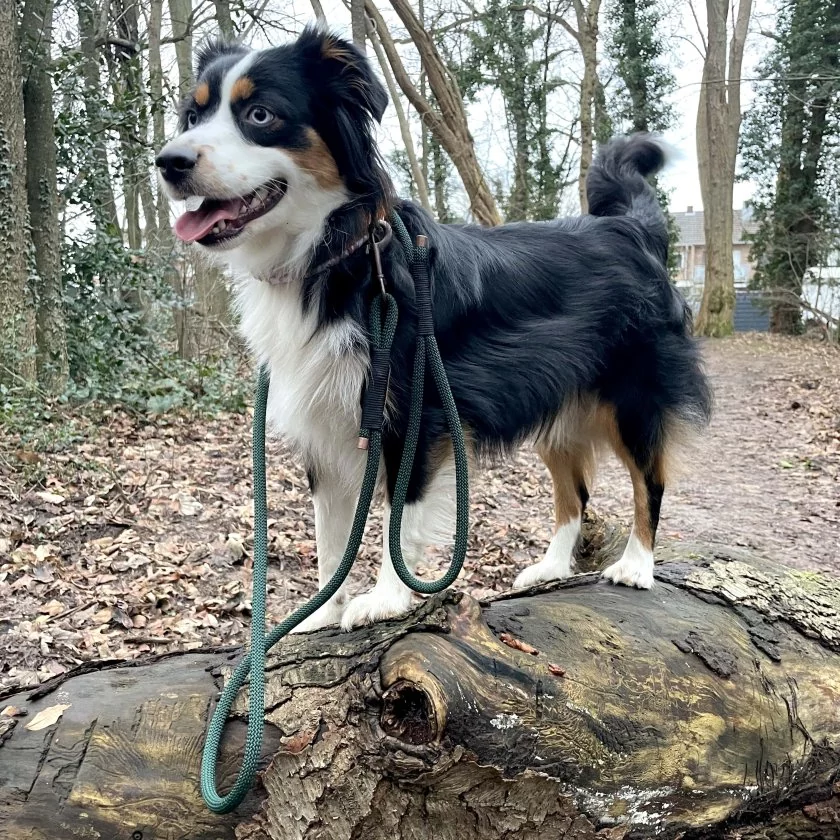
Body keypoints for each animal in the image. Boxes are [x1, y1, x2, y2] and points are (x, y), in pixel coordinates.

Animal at [156, 24, 708, 632]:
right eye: (193, 116)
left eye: (259, 115)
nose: (168, 162)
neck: (338, 254)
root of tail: (628, 231)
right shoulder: (324, 426)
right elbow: (330, 537)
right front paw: (320, 613)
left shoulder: (414, 411)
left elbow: (400, 516)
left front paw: (387, 598)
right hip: (555, 402)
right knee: (577, 491)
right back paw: (552, 567)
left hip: (634, 398)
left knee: (648, 480)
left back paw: (636, 564)